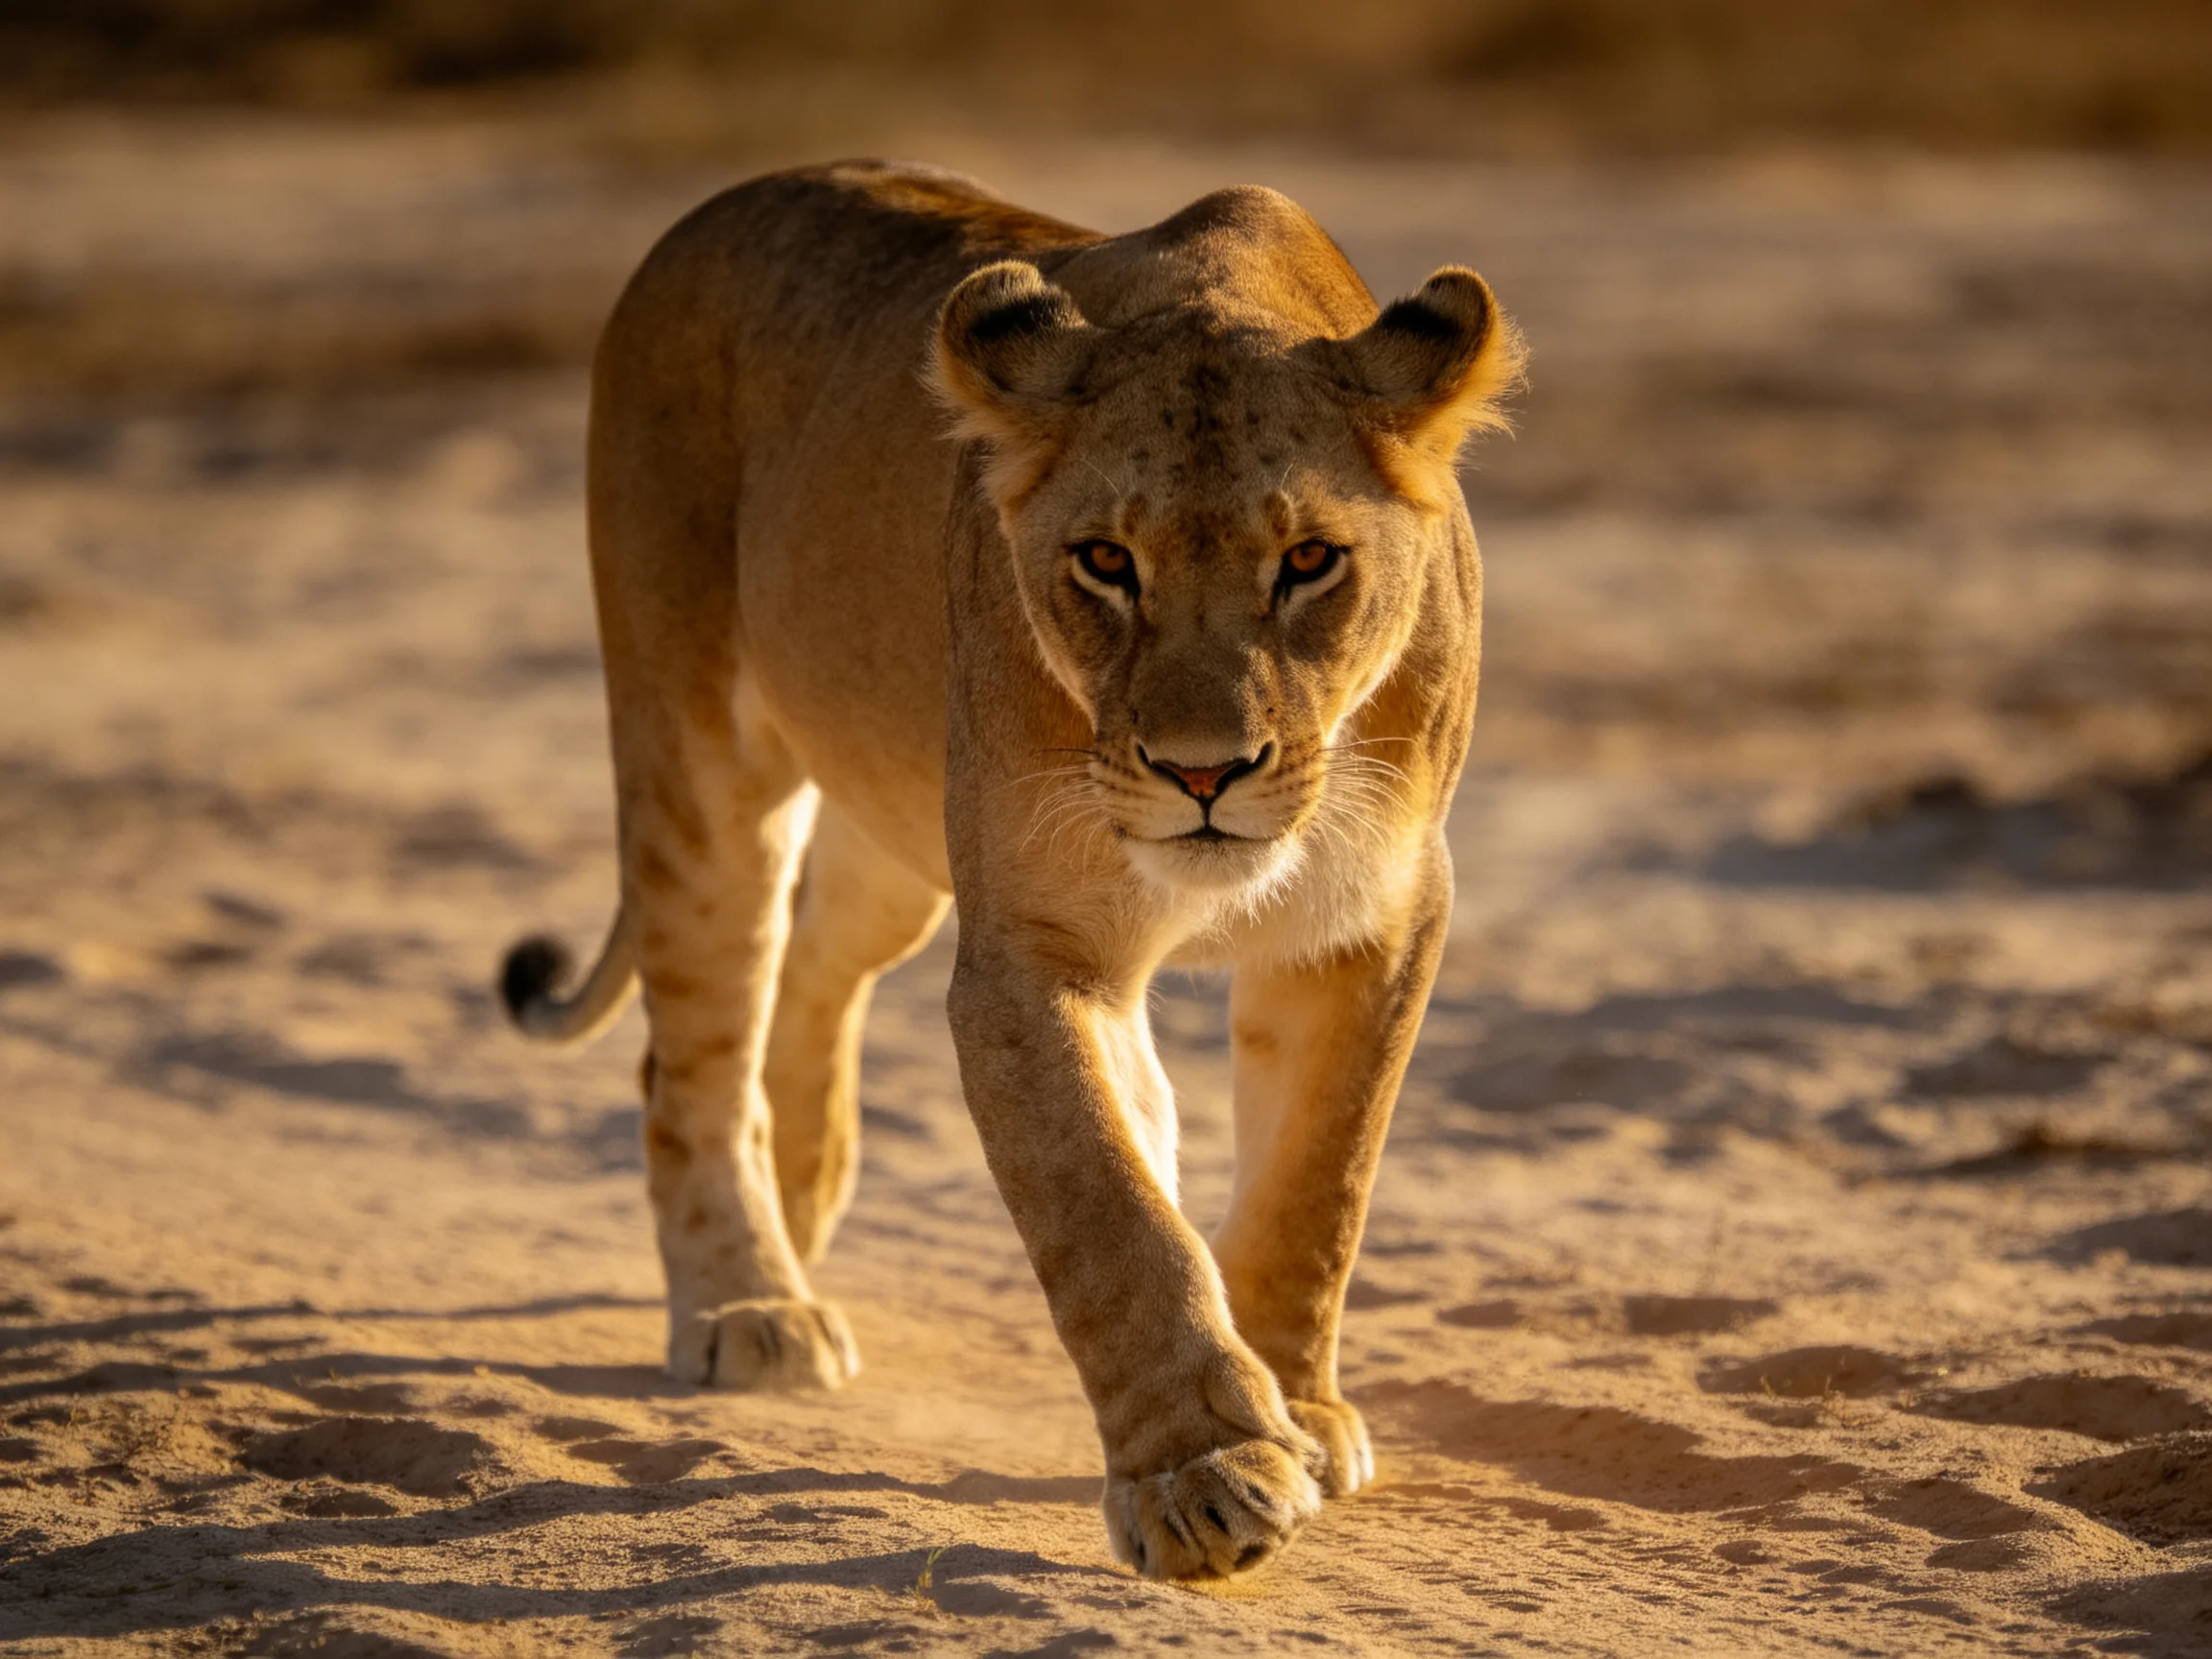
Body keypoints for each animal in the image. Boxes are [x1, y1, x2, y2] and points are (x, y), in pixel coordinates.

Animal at [499, 160, 1522, 1578]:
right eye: (1106, 561)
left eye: (1311, 561)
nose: (1204, 774)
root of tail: (710, 209)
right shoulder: (1029, 949)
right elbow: (1105, 1206)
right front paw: (1200, 1474)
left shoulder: (1368, 922)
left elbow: (1317, 1184)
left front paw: (1296, 1410)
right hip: (697, 756)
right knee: (696, 1041)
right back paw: (752, 1301)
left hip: (900, 830)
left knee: (815, 966)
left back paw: (805, 1200)